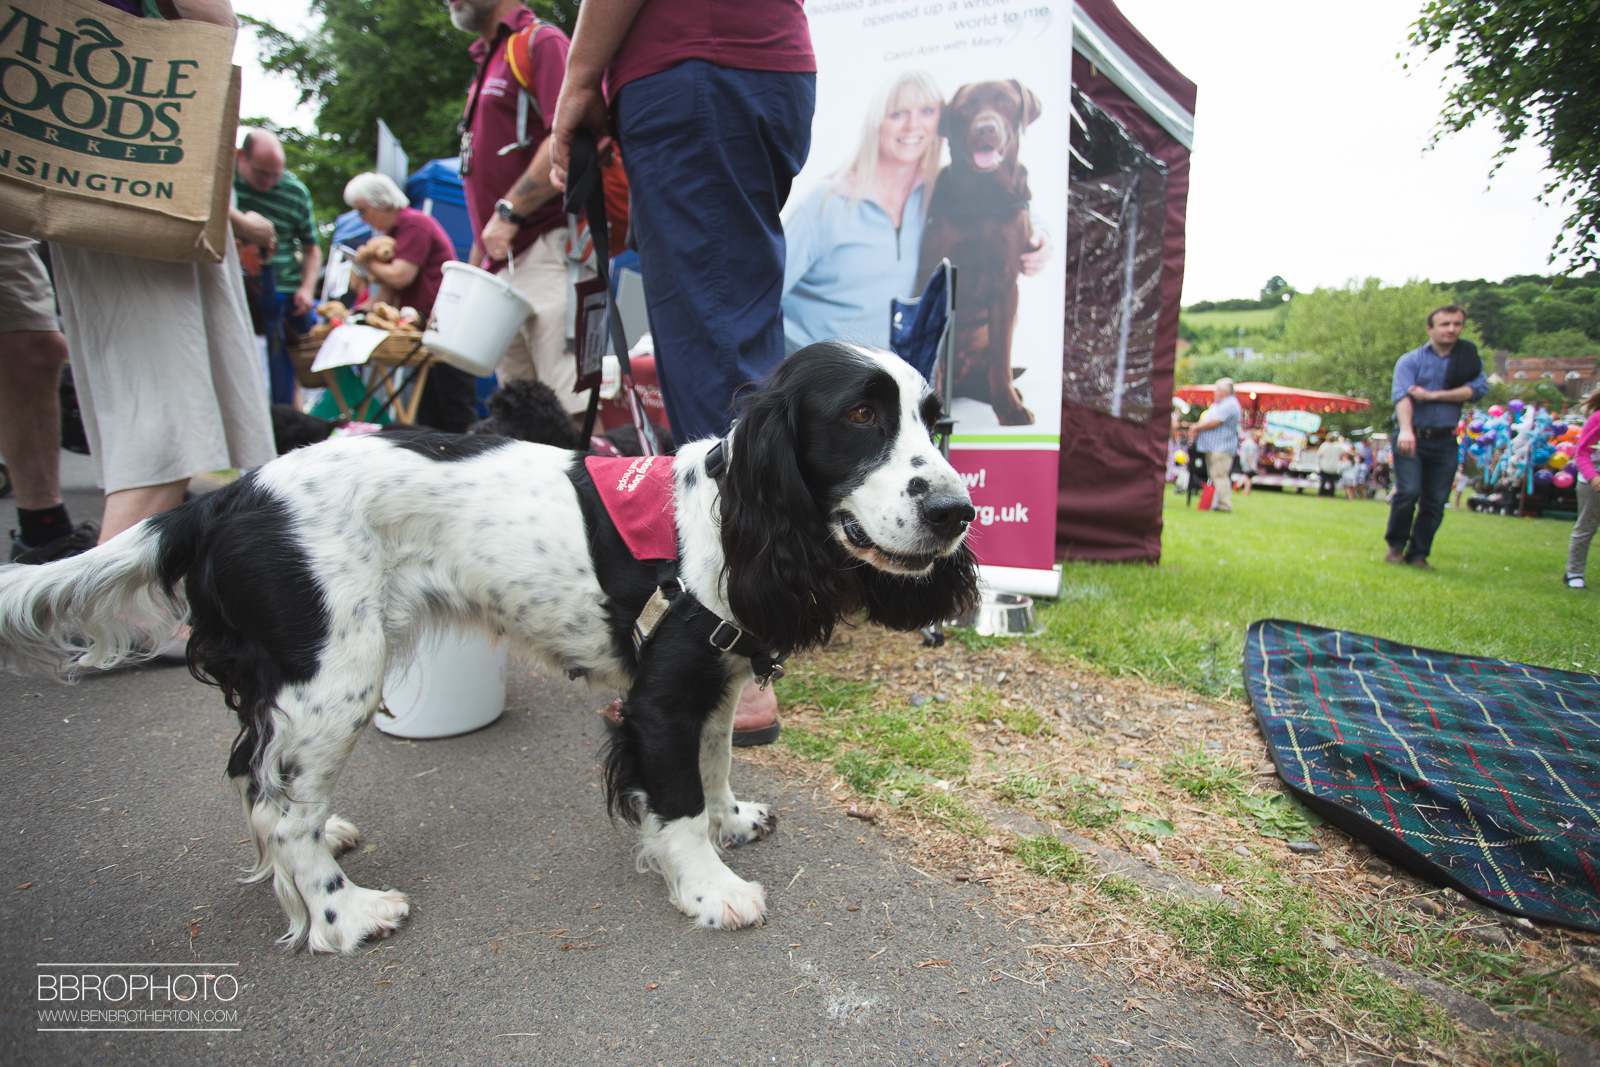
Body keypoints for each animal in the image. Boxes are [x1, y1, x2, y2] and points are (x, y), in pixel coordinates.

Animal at [0, 342, 978, 952]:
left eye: (939, 424)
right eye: (861, 414)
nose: (957, 511)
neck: (728, 519)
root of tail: (227, 497)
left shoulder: (719, 679)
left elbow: (715, 767)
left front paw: (732, 819)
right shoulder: (660, 698)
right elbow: (675, 802)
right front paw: (709, 888)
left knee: (257, 775)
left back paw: (331, 837)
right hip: (335, 673)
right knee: (281, 810)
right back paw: (344, 915)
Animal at [918, 80, 1042, 426]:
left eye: (1006, 102)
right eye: (967, 107)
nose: (986, 128)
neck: (983, 197)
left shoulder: (1006, 282)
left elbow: (1001, 358)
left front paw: (1010, 408)